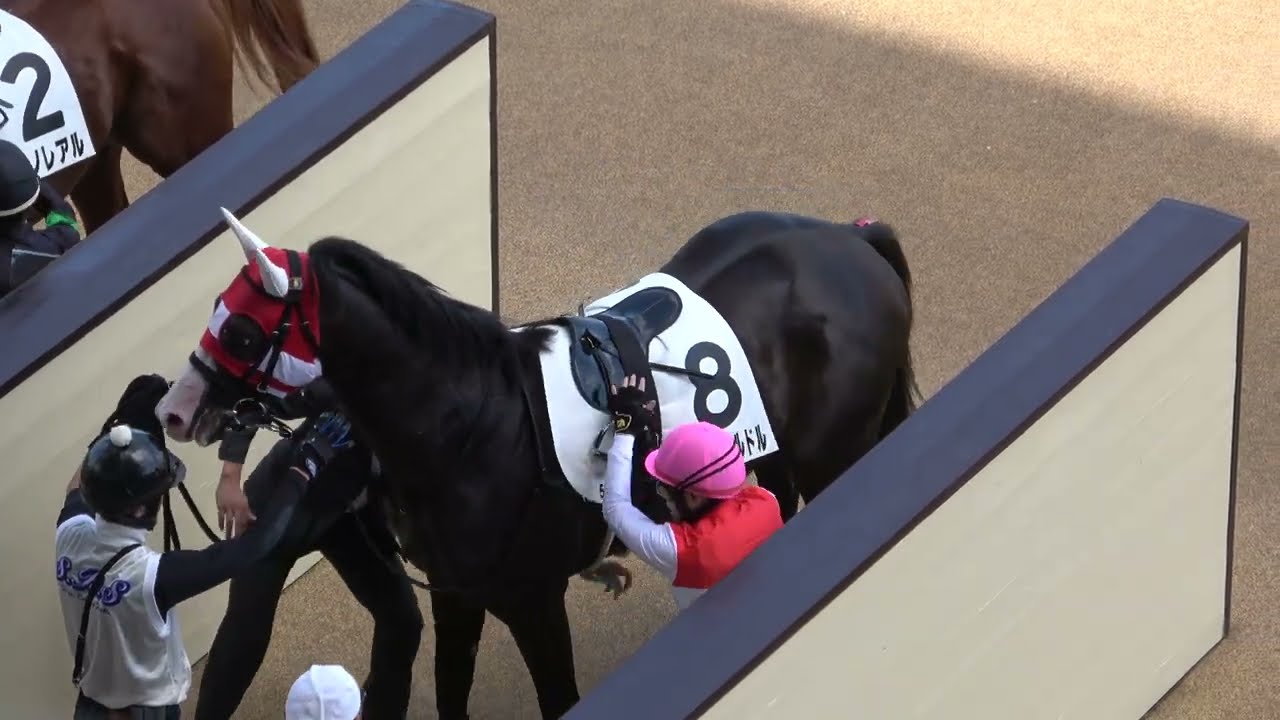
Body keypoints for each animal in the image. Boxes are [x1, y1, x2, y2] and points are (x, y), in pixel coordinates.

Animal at [154, 208, 920, 718]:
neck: (470, 428)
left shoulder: (531, 600)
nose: (173, 410)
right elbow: (451, 687)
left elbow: (558, 696)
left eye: (243, 329)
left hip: (837, 452)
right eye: (218, 307)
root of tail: (851, 239)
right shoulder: (458, 591)